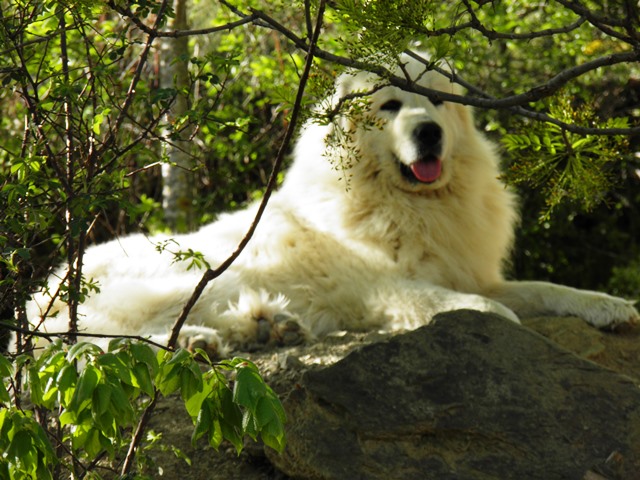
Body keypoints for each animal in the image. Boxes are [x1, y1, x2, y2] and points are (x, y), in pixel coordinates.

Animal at [27, 53, 636, 356]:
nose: (430, 133)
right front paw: (502, 327)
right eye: (390, 106)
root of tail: (40, 293)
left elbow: (548, 289)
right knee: (94, 341)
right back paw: (202, 341)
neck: (409, 203)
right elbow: (477, 307)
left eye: (436, 101)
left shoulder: (473, 272)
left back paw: (264, 328)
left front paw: (610, 306)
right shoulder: (390, 287)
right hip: (188, 275)